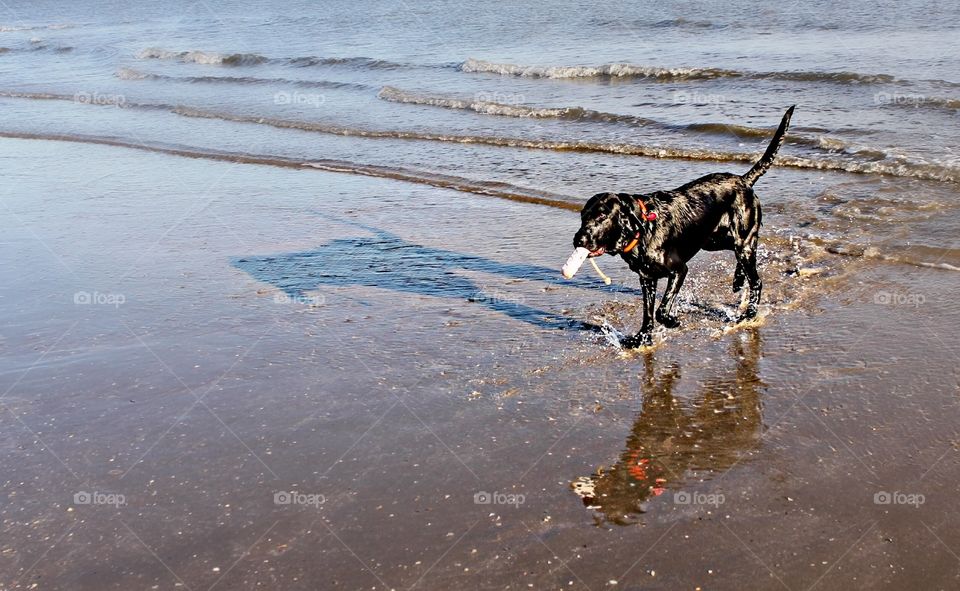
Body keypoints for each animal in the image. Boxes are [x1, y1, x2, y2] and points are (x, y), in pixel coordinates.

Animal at [568, 107, 796, 350]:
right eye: (583, 216)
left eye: (602, 216)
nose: (578, 240)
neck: (643, 229)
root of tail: (744, 181)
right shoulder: (647, 279)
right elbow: (647, 313)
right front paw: (642, 338)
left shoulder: (678, 270)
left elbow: (660, 309)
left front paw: (671, 321)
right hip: (713, 241)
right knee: (743, 260)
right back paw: (738, 280)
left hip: (741, 240)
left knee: (756, 279)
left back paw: (749, 313)